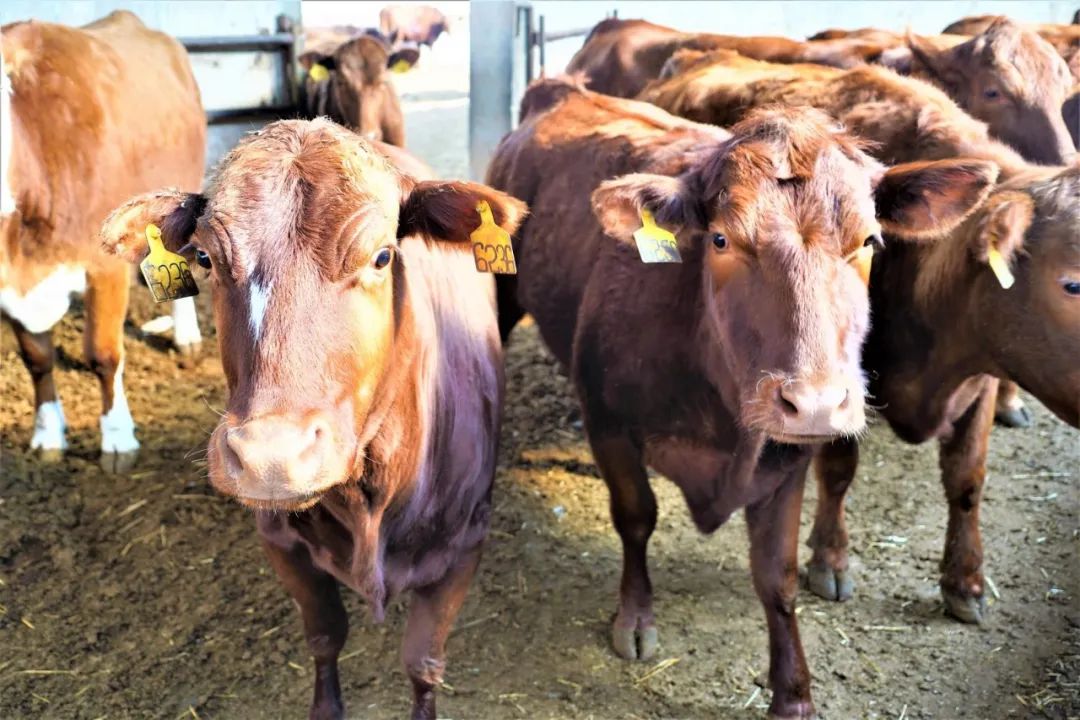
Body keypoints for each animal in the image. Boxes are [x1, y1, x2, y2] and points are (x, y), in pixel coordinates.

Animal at [0, 11, 206, 472]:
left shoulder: (104, 266)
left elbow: (103, 353)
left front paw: (118, 438)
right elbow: (37, 359)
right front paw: (47, 433)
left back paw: (186, 337)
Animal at [100, 118, 526, 720]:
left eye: (382, 256)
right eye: (205, 259)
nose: (269, 455)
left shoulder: (465, 545)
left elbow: (423, 663)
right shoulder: (280, 541)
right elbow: (325, 636)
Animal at [488, 77, 997, 718]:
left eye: (870, 240)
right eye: (722, 239)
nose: (816, 402)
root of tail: (562, 90)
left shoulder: (788, 457)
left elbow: (777, 576)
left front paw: (794, 692)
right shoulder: (608, 419)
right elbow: (635, 517)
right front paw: (635, 618)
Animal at [640, 50, 1080, 621]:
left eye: (871, 239)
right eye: (1072, 282)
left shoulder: (982, 373)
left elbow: (967, 478)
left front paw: (965, 581)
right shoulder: (835, 384)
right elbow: (838, 469)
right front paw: (830, 559)